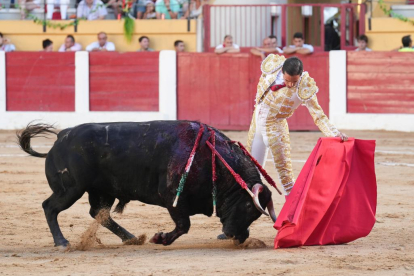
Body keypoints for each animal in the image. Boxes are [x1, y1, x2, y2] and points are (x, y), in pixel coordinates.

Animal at [17, 121, 274, 248]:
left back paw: (131, 238)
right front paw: (160, 238)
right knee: (50, 207)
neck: (212, 159)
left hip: (103, 190)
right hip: (70, 190)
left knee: (99, 213)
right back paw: (62, 242)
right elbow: (183, 225)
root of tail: (61, 137)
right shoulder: (173, 198)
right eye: (248, 207)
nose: (237, 236)